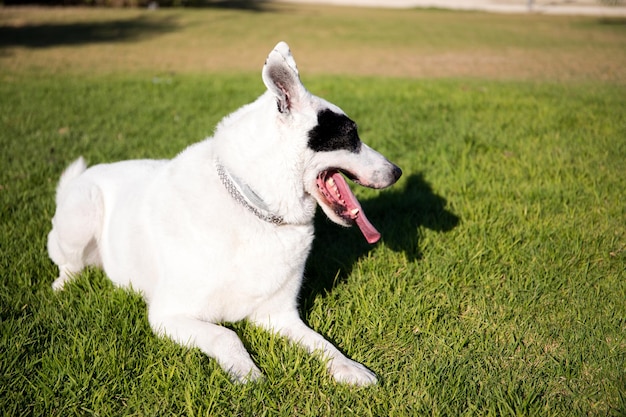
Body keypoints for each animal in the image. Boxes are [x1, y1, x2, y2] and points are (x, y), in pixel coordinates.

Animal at [47, 41, 400, 384]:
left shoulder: (278, 316)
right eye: (351, 135)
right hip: (83, 210)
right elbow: (227, 335)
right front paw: (247, 371)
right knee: (68, 265)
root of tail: (82, 177)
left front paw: (349, 368)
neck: (255, 208)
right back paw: (63, 286)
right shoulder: (168, 315)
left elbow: (321, 343)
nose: (396, 172)